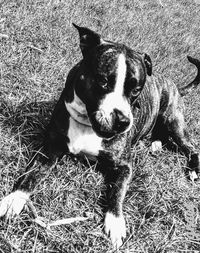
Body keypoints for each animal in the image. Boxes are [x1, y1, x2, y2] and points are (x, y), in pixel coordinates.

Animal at [0, 24, 200, 249]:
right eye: (103, 81)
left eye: (136, 90)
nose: (123, 120)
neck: (86, 124)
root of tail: (173, 83)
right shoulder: (48, 151)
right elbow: (30, 176)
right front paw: (14, 199)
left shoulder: (124, 166)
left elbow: (117, 192)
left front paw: (115, 221)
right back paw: (155, 143)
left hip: (174, 122)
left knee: (191, 147)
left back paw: (193, 170)